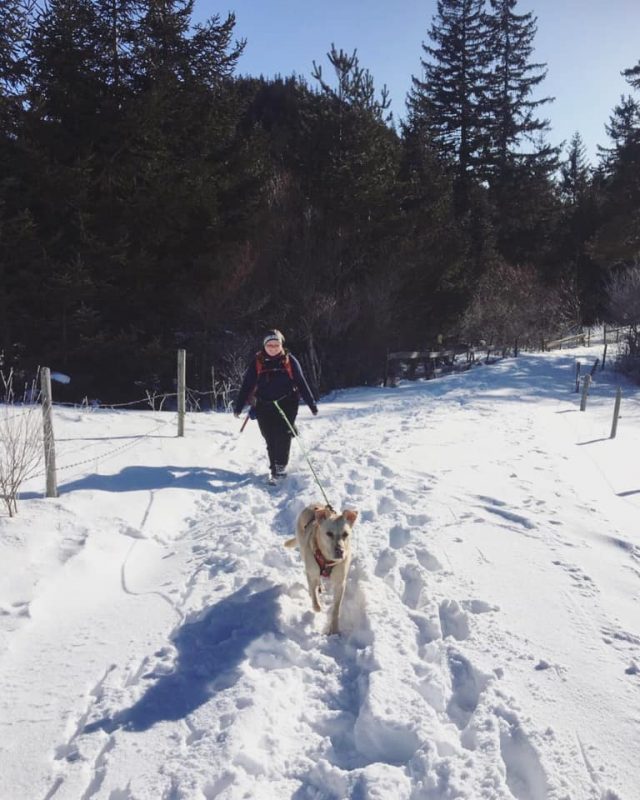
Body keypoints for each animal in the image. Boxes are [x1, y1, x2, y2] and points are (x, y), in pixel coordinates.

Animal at [286, 504, 358, 636]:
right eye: (329, 533)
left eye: (345, 534)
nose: (340, 551)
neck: (328, 560)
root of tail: (313, 505)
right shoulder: (311, 572)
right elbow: (314, 595)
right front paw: (317, 605)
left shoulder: (340, 583)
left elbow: (336, 608)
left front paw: (334, 628)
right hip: (304, 553)